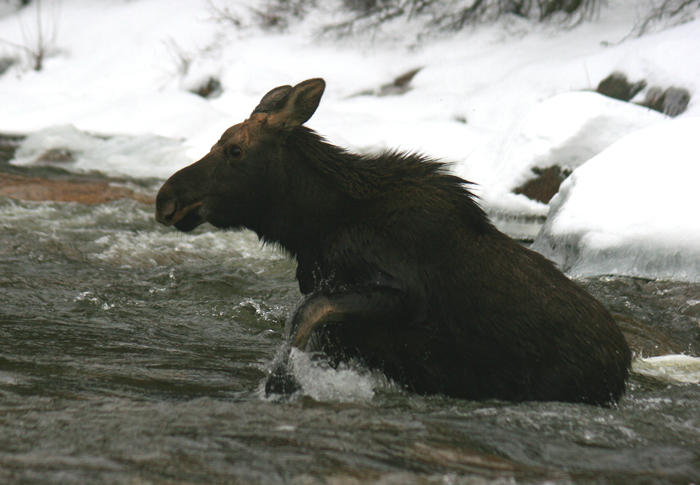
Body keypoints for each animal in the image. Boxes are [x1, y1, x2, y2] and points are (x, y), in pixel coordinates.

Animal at [157, 78, 636, 404]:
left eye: (235, 150)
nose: (167, 198)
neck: (315, 226)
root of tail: (624, 365)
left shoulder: (403, 291)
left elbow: (306, 313)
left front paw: (280, 380)